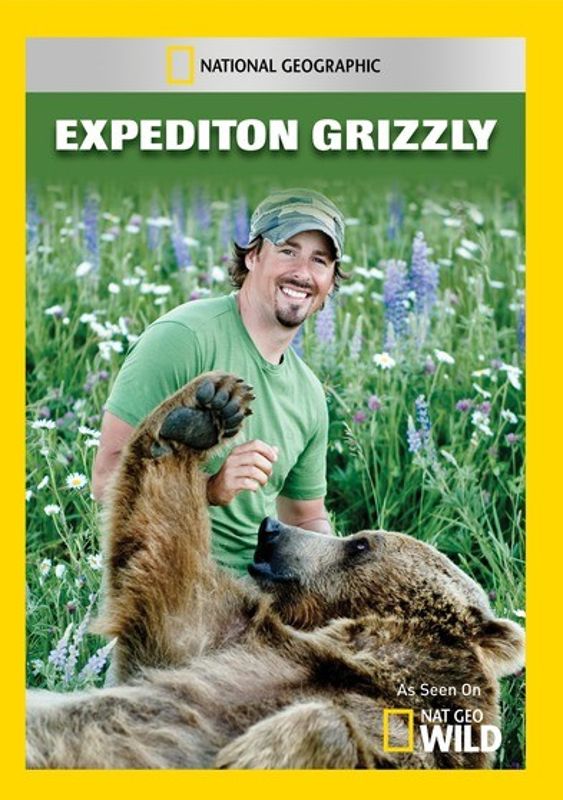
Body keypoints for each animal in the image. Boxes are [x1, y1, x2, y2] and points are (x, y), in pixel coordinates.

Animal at [26, 371, 524, 769]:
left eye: (360, 543)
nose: (271, 528)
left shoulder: (414, 739)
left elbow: (331, 732)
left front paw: (249, 753)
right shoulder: (230, 640)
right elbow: (164, 559)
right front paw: (205, 410)